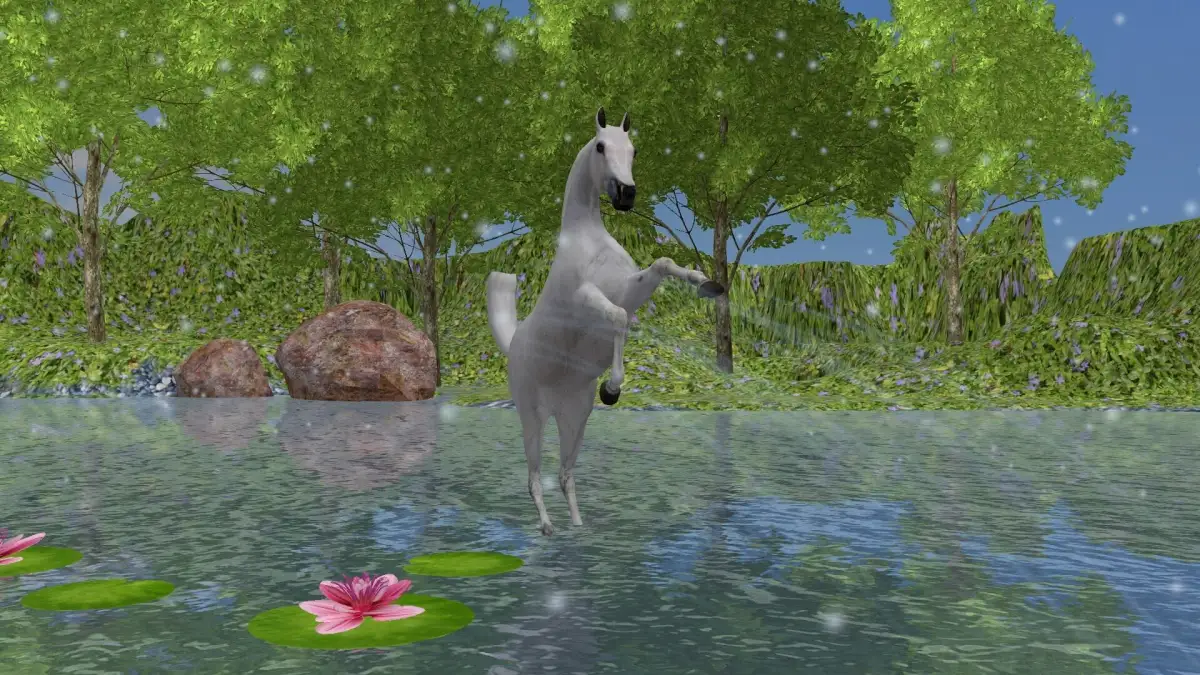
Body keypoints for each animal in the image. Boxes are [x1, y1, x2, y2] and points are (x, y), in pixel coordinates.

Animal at [486, 107, 725, 536]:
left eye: (634, 150)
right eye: (600, 146)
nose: (627, 195)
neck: (588, 238)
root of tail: (513, 342)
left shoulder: (630, 290)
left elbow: (660, 266)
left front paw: (706, 284)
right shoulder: (586, 298)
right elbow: (617, 317)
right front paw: (613, 387)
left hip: (575, 418)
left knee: (565, 474)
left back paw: (579, 529)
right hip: (532, 415)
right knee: (533, 476)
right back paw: (546, 528)